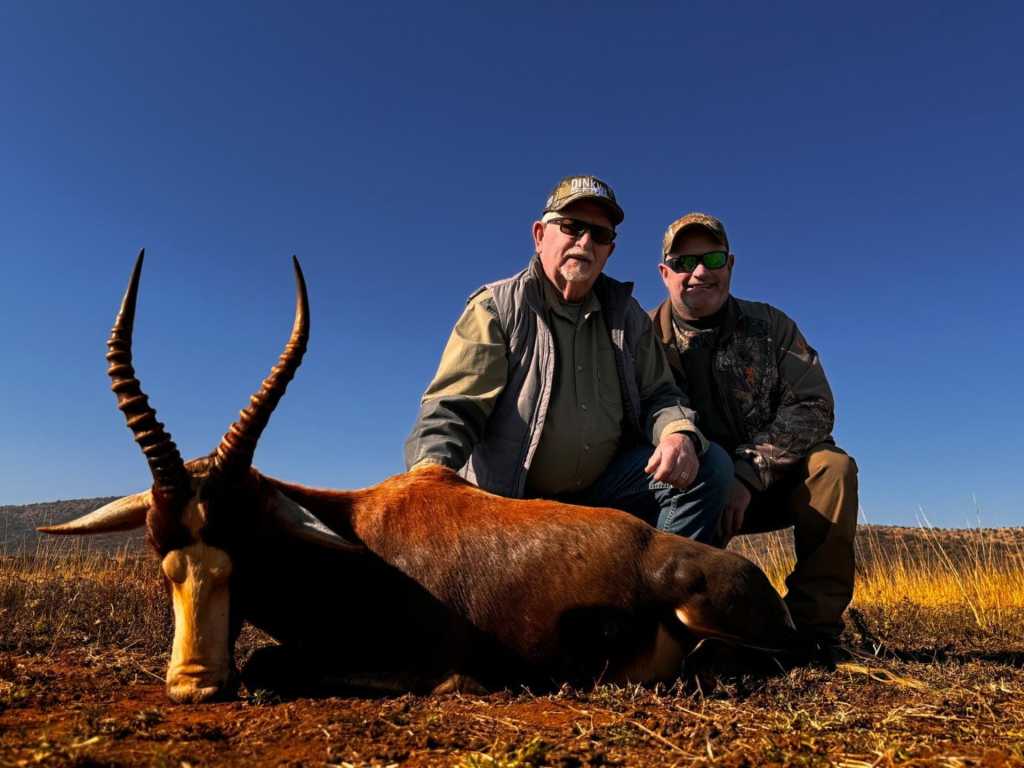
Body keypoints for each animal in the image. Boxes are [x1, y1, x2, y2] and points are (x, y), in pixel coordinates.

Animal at [41, 251, 799, 703]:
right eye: (157, 545)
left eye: (247, 540)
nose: (196, 685)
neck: (353, 541)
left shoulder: (429, 662)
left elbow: (276, 663)